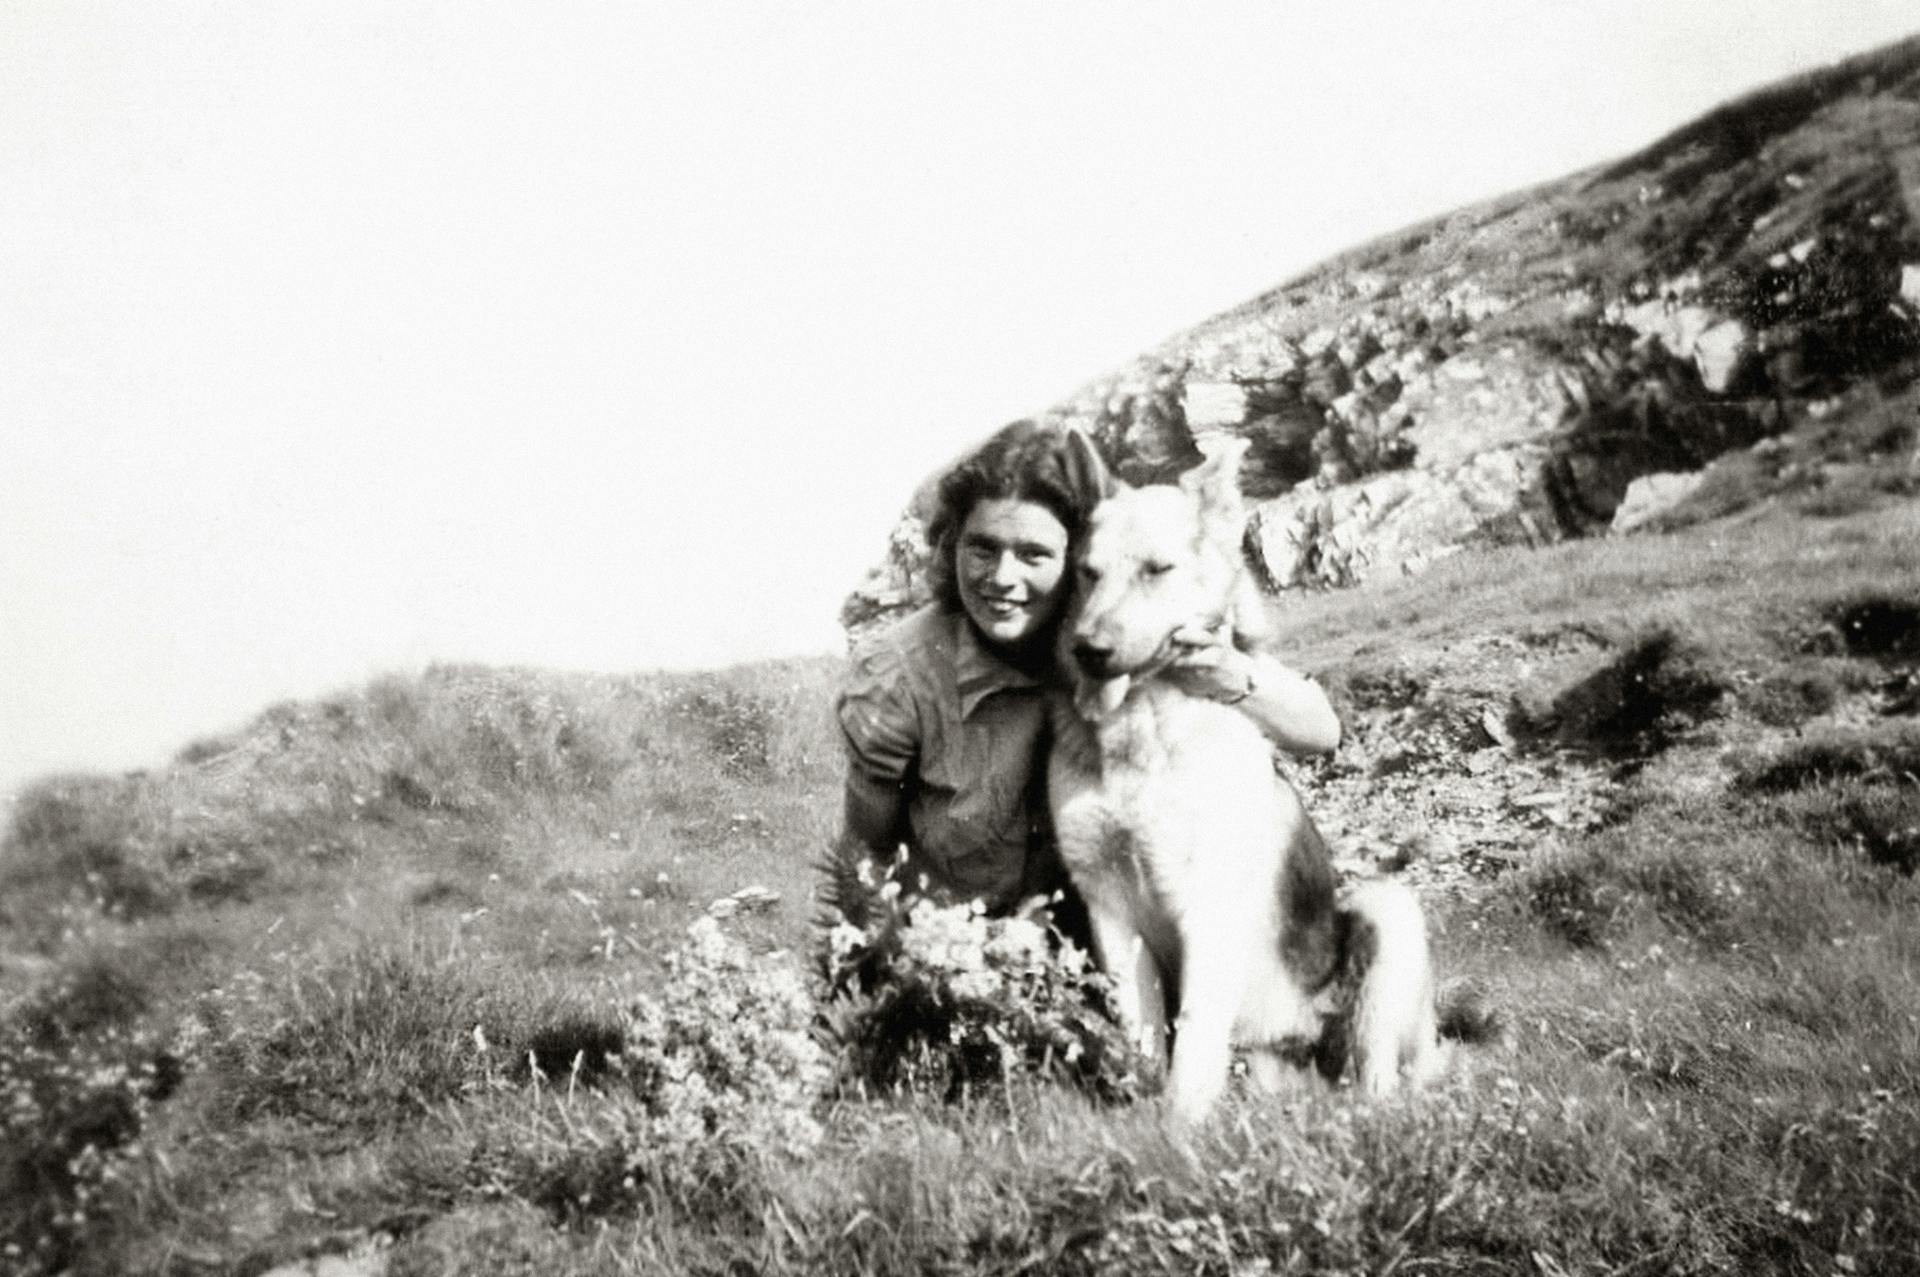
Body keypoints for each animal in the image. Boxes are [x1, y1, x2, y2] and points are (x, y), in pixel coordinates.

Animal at [1052, 433, 1443, 1121]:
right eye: (1087, 573)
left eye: (1156, 570)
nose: (1088, 651)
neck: (1141, 738)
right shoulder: (1109, 908)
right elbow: (1142, 1031)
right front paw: (1143, 1119)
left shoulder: (1206, 905)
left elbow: (1194, 1031)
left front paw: (1180, 1126)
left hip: (1384, 910)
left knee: (1378, 1075)